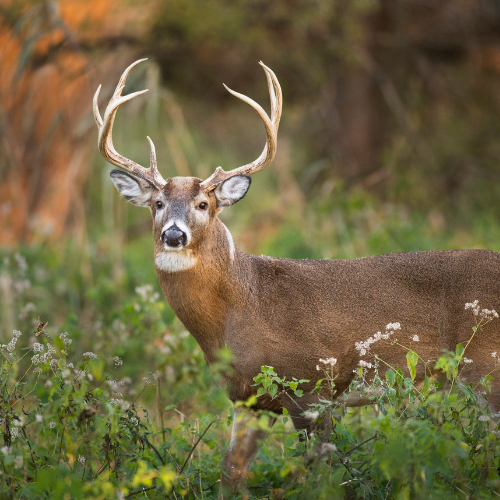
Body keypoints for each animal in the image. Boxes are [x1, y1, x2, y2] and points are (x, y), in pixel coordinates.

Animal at [93, 58, 500, 492]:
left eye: (203, 204)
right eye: (157, 203)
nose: (173, 234)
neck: (243, 304)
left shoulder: (311, 385)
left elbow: (318, 470)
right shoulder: (249, 399)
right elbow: (230, 471)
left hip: (486, 366)